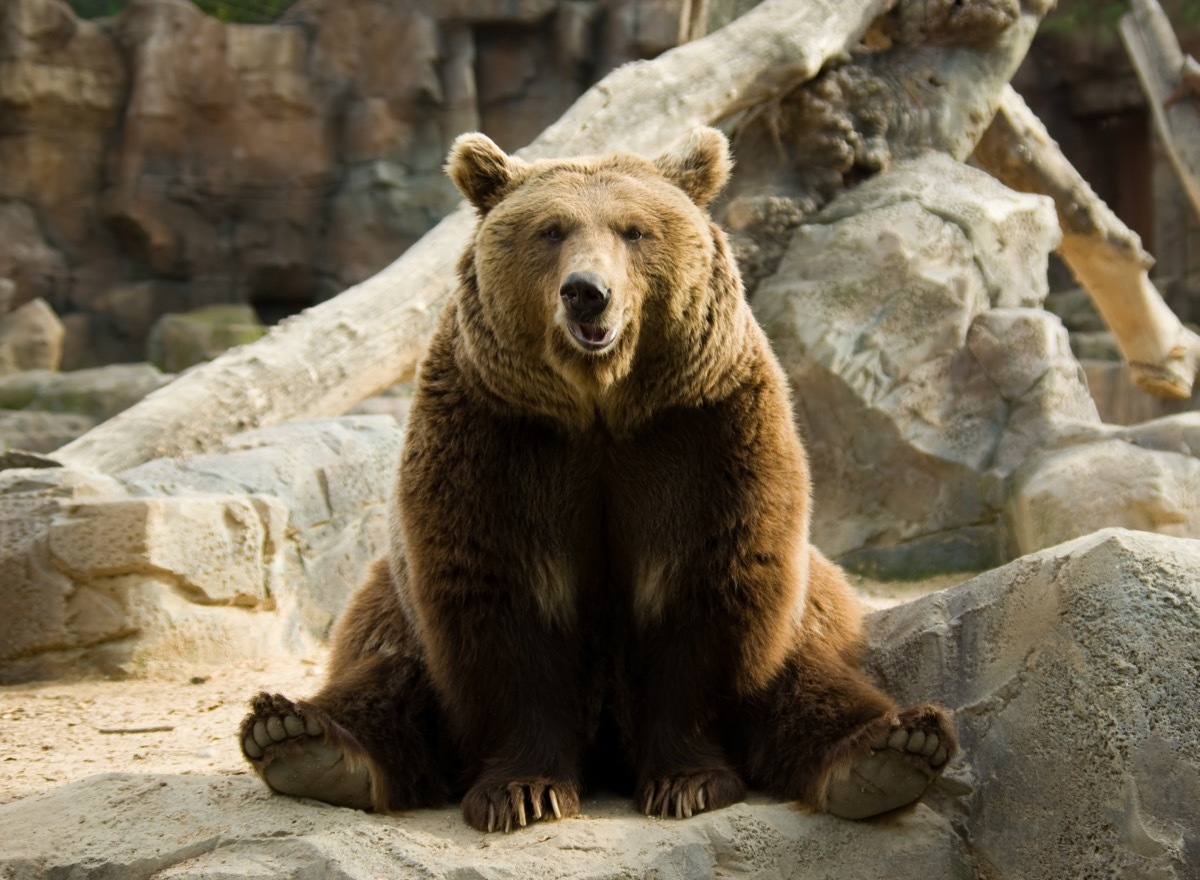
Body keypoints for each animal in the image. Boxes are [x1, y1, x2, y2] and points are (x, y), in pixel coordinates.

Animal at [236, 127, 955, 825]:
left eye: (634, 230)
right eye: (551, 229)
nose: (586, 291)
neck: (601, 404)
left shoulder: (703, 432)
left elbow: (708, 591)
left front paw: (688, 782)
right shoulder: (498, 439)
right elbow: (502, 603)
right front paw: (525, 790)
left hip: (818, 606)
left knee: (815, 680)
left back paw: (892, 750)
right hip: (391, 602)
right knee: (388, 677)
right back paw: (300, 738)